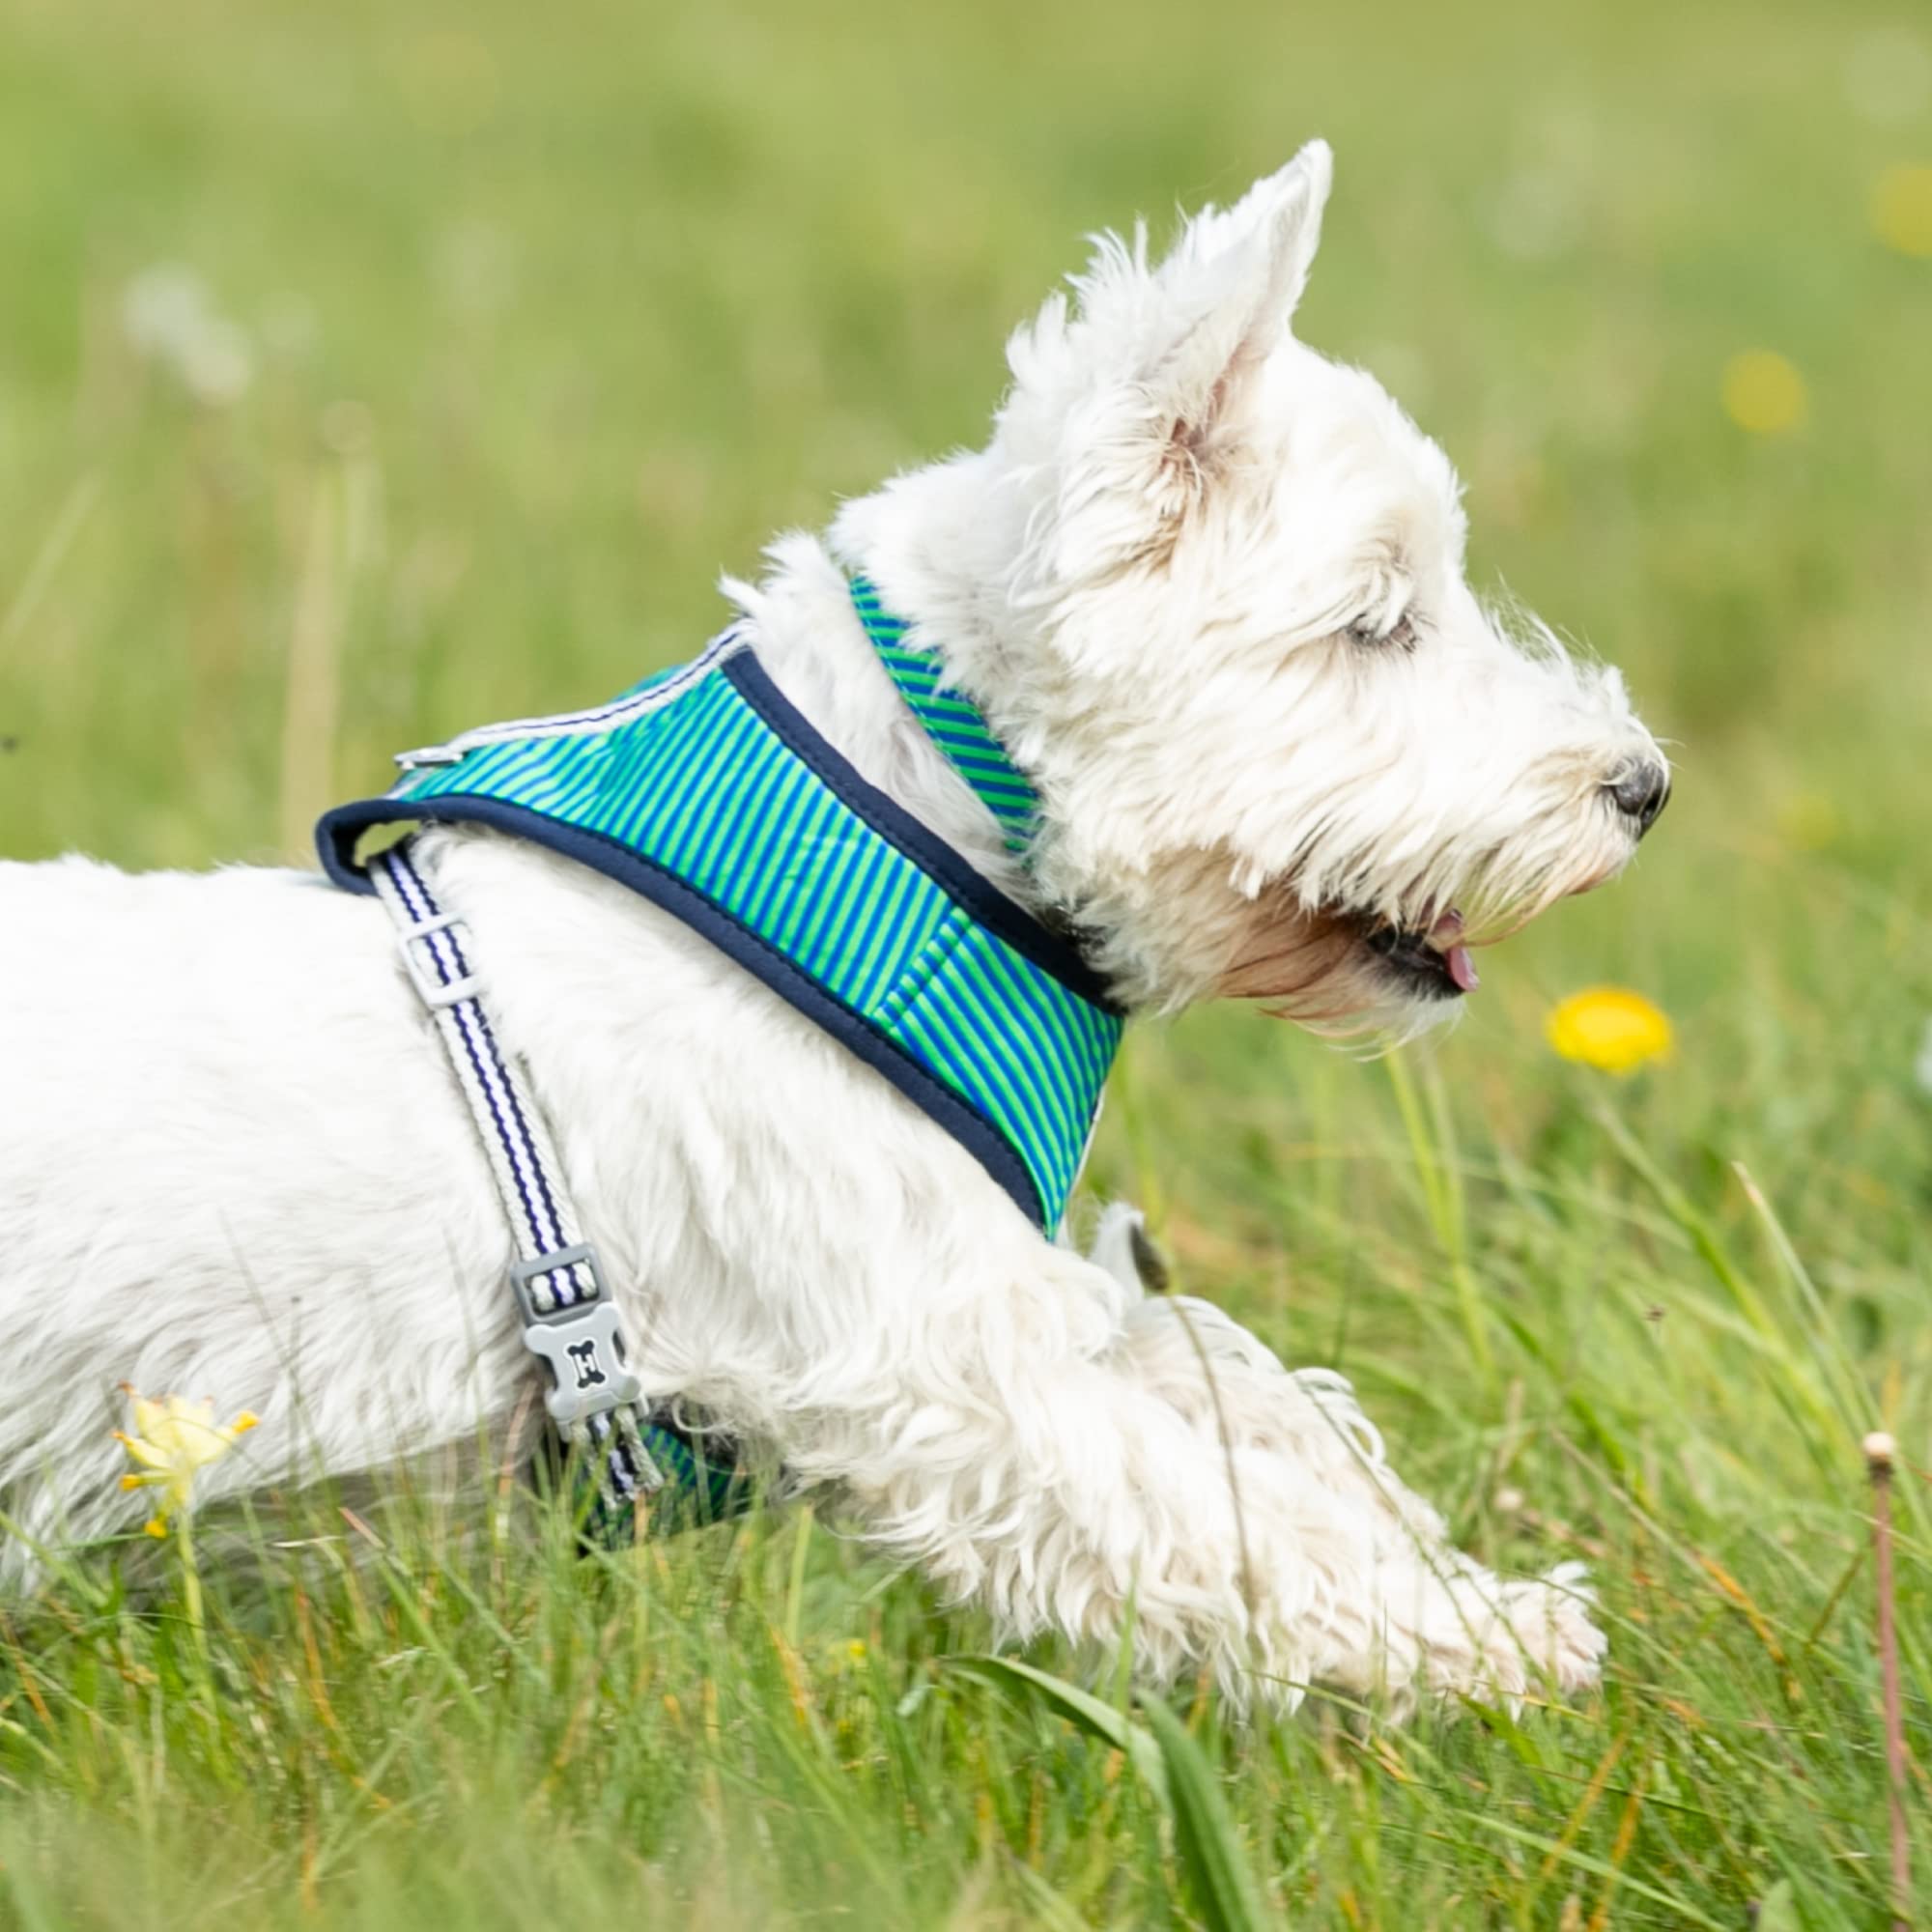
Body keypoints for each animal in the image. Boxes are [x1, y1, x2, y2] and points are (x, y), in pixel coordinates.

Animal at [0, 155, 1662, 1723]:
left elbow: (1224, 1372)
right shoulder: (941, 1369)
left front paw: (1424, 1535)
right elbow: (1222, 1521)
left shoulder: (999, 1292)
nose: (1641, 786)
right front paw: (1505, 1637)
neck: (911, 844)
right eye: (1375, 623)